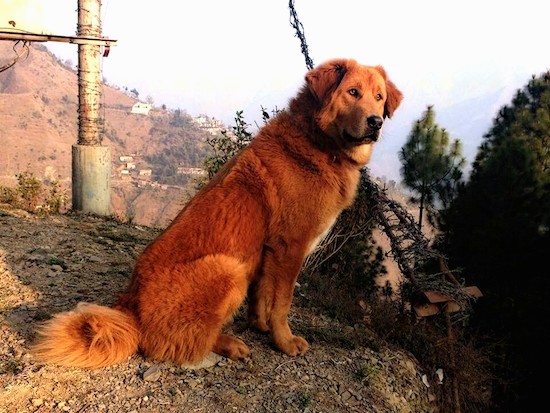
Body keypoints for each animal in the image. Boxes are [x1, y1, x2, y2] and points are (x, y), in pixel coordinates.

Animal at [32, 58, 404, 366]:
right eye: (353, 92)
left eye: (379, 97)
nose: (375, 122)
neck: (317, 143)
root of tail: (131, 306)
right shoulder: (290, 247)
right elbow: (282, 303)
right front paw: (283, 341)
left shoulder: (267, 250)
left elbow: (262, 295)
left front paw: (259, 325)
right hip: (228, 268)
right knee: (179, 344)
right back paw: (227, 343)